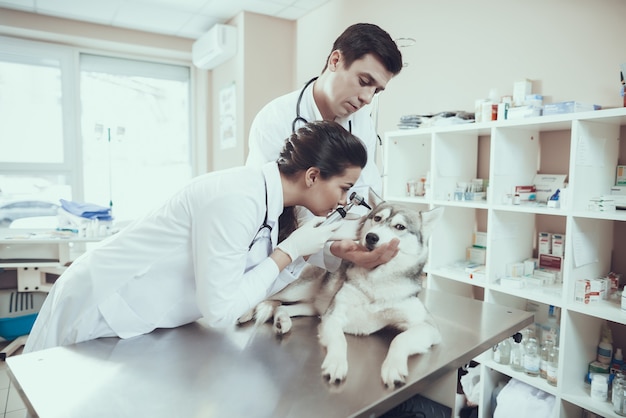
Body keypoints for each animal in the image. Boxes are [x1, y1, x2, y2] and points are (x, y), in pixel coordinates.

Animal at [236, 202, 442, 388]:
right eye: (377, 218)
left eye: (400, 227)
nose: (371, 237)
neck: (376, 280)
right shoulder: (333, 316)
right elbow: (339, 341)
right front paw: (336, 363)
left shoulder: (428, 327)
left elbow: (400, 339)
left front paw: (394, 367)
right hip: (296, 290)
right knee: (265, 296)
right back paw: (246, 313)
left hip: (314, 307)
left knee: (282, 307)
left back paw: (282, 320)